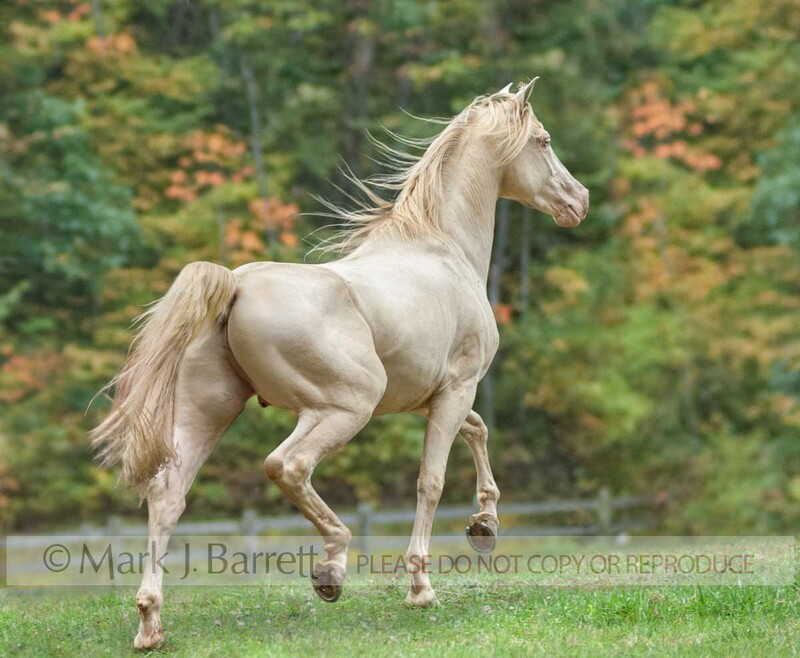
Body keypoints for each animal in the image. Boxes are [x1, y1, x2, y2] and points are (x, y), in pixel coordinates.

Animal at [91, 79, 589, 650]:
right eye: (543, 141)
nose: (579, 200)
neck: (443, 247)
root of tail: (235, 283)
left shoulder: (424, 397)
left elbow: (478, 431)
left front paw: (484, 524)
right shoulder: (457, 388)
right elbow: (432, 478)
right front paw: (421, 586)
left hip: (210, 411)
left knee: (168, 492)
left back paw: (150, 624)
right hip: (343, 407)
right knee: (287, 466)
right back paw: (331, 567)